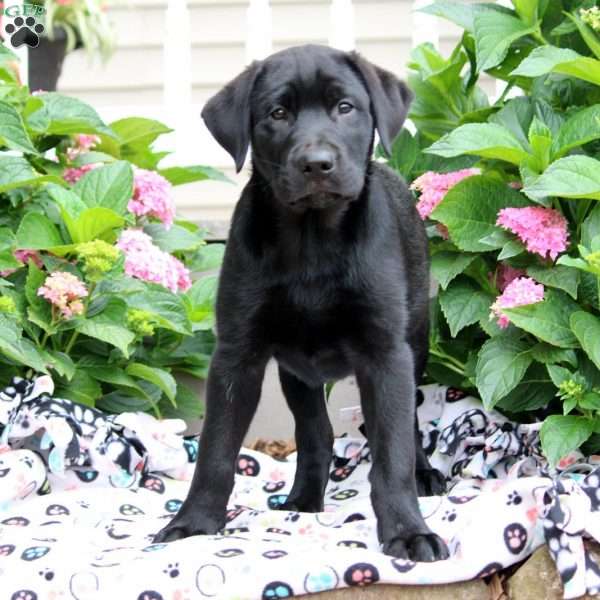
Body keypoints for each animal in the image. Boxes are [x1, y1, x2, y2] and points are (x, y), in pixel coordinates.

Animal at [155, 43, 450, 564]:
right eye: (277, 114)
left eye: (345, 108)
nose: (316, 163)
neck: (312, 241)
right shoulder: (237, 356)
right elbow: (215, 450)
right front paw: (193, 524)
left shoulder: (385, 354)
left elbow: (392, 451)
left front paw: (408, 530)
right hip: (298, 370)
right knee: (316, 433)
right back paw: (304, 500)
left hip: (415, 341)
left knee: (407, 426)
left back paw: (424, 473)